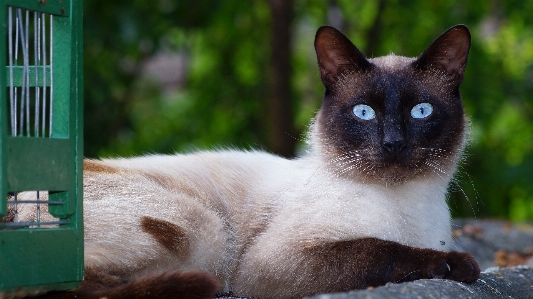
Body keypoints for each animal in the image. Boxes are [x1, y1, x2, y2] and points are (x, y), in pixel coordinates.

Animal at [14, 24, 480, 298]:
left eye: (421, 111)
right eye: (364, 112)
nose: (393, 143)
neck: (405, 208)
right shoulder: (271, 266)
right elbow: (378, 251)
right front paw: (456, 265)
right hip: (203, 229)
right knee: (63, 288)